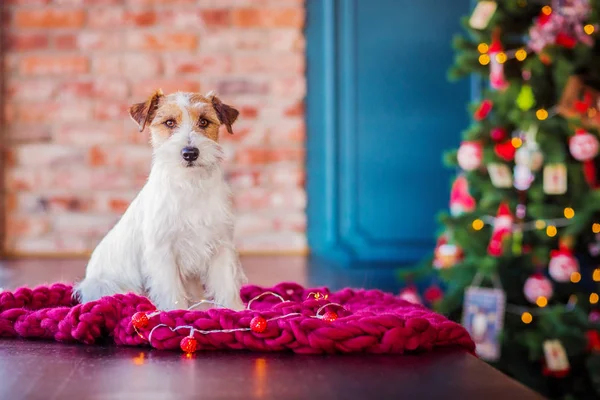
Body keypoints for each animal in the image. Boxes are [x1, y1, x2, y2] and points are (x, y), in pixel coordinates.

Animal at [74, 89, 248, 310]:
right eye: (169, 123)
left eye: (204, 122)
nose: (190, 153)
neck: (190, 185)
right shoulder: (163, 251)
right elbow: (171, 289)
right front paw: (176, 312)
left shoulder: (221, 245)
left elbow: (226, 284)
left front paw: (235, 310)